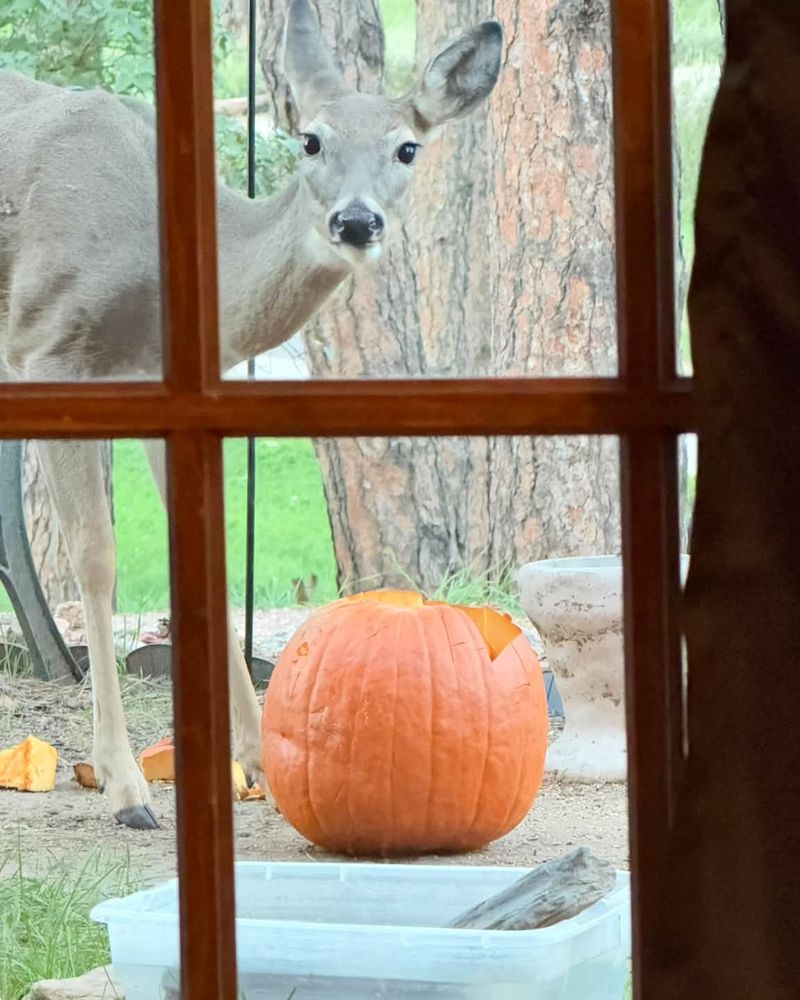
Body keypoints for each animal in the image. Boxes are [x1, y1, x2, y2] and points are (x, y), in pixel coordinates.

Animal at [0, 0, 502, 829]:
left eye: (407, 147)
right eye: (311, 140)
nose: (355, 222)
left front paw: (258, 760)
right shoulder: (51, 348)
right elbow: (96, 555)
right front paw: (125, 786)